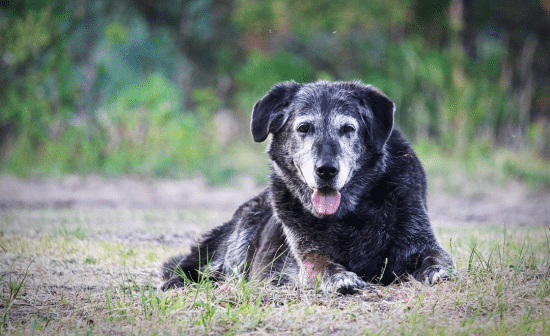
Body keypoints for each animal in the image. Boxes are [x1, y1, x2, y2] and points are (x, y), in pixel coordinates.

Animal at [162, 80, 460, 292]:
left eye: (348, 129)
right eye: (304, 128)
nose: (326, 170)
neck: (348, 216)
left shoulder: (418, 239)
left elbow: (437, 256)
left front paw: (438, 270)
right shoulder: (307, 256)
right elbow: (322, 265)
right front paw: (340, 278)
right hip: (240, 237)